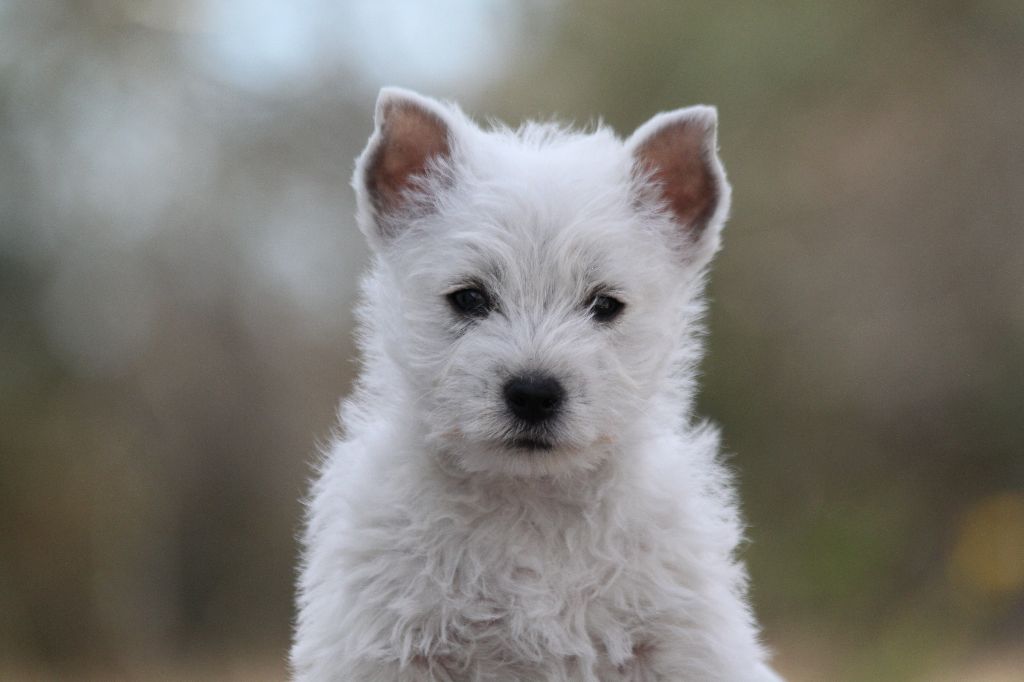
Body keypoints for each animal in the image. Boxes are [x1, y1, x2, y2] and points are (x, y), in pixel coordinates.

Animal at [291, 87, 782, 681]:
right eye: (469, 297)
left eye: (605, 304)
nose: (533, 394)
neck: (531, 505)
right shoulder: (382, 647)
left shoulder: (685, 645)